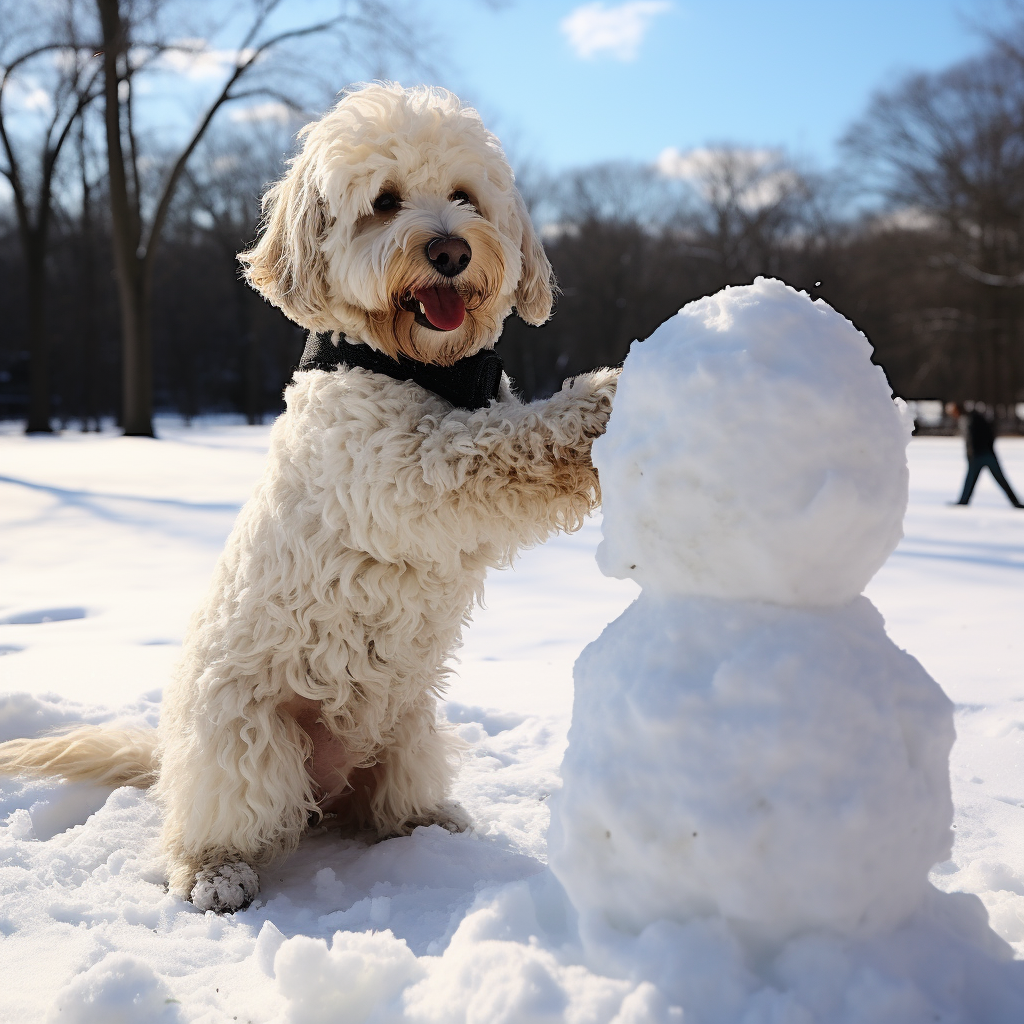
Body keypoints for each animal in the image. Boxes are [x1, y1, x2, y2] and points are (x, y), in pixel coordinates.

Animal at [0, 81, 614, 913]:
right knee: (213, 825)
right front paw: (598, 404)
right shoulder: (412, 475)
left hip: (411, 730)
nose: (450, 251)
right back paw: (215, 870)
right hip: (250, 742)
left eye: (465, 197)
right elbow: (501, 445)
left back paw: (429, 822)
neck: (414, 367)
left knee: (383, 804)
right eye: (384, 202)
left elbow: (506, 445)